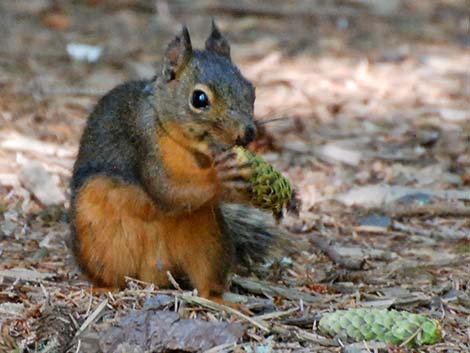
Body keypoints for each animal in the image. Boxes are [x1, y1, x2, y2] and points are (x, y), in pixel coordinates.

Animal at [70, 21, 290, 300]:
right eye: (199, 99)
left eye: (251, 91)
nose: (248, 134)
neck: (187, 147)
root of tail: (153, 272)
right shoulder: (144, 143)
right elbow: (167, 189)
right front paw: (219, 177)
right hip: (97, 241)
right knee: (112, 275)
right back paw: (104, 287)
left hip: (211, 242)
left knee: (207, 282)